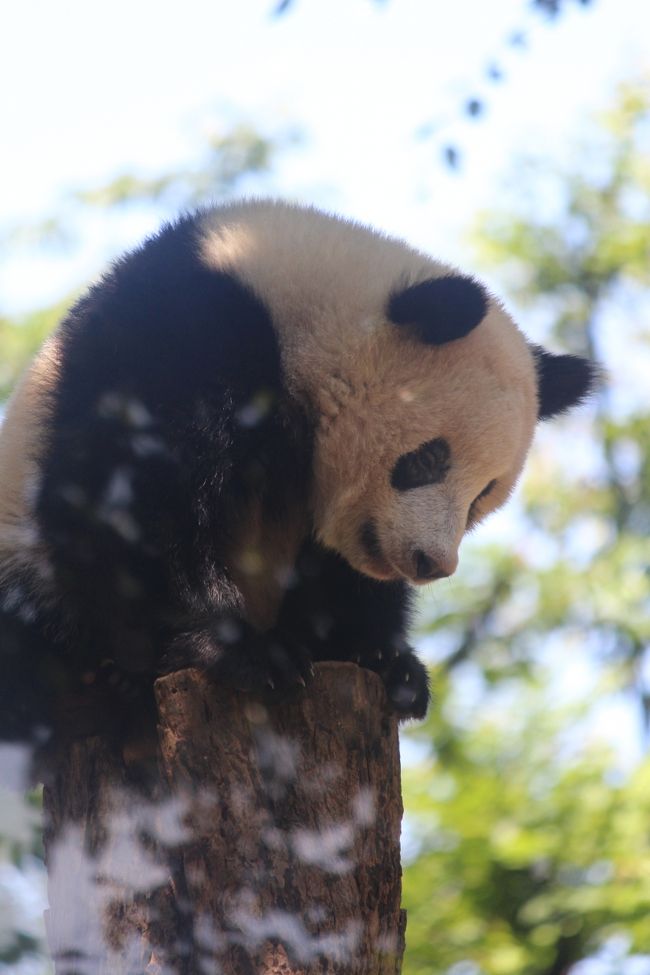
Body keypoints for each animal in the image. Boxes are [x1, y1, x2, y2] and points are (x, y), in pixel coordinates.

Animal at [0, 196, 592, 748]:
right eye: (427, 460)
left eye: (482, 496)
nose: (430, 563)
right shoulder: (180, 338)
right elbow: (137, 499)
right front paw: (245, 652)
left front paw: (386, 662)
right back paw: (111, 680)